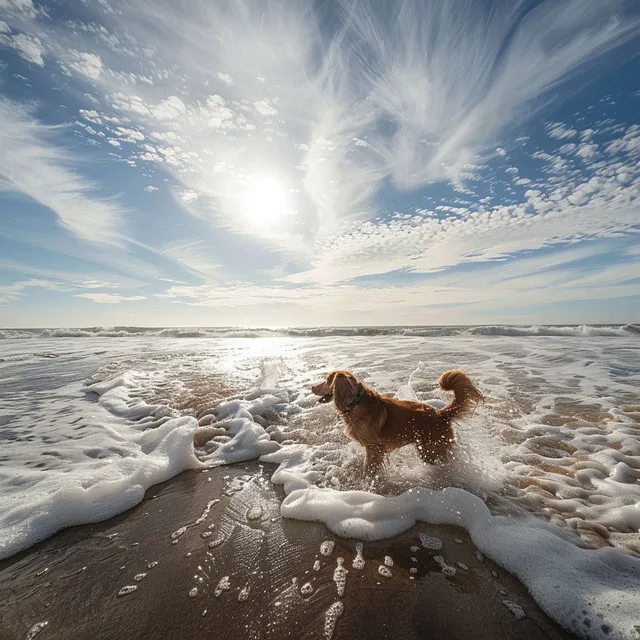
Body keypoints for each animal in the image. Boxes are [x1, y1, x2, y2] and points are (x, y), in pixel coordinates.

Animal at [312, 370, 482, 476]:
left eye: (327, 380)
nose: (312, 386)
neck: (355, 402)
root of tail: (440, 414)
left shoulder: (374, 447)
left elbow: (370, 467)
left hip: (431, 450)